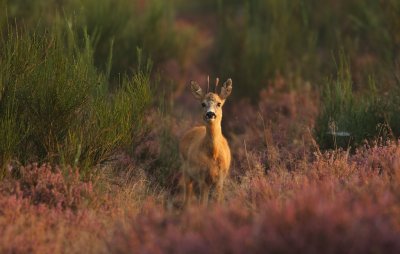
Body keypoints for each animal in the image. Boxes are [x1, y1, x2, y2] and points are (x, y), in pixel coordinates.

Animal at [180, 78, 233, 206]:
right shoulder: (203, 178)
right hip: (186, 171)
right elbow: (202, 204)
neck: (213, 154)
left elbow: (217, 202)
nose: (210, 114)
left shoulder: (220, 178)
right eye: (203, 104)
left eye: (219, 103)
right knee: (187, 196)